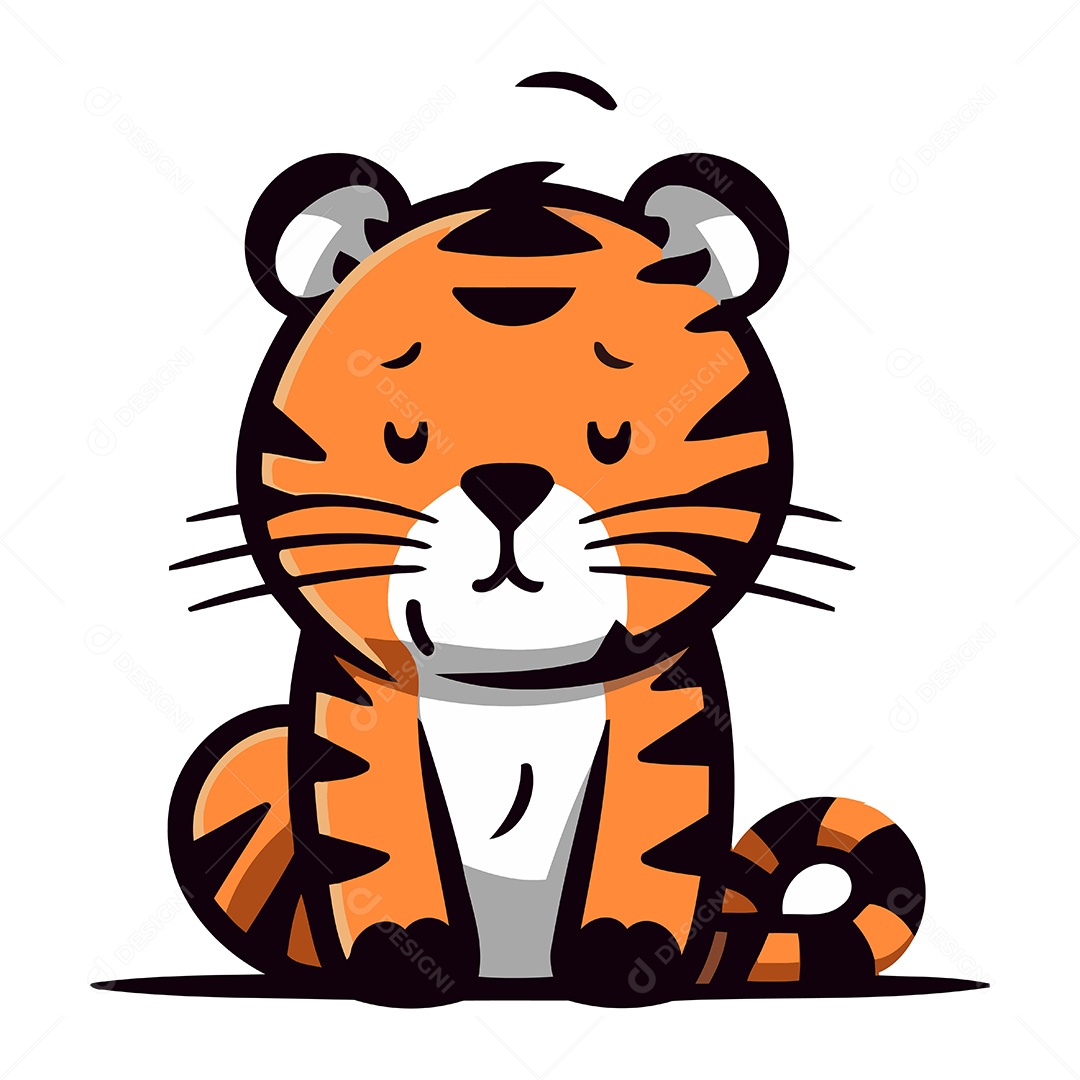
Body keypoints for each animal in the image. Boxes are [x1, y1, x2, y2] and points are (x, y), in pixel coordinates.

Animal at [167, 139, 930, 1006]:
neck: (511, 684)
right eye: (404, 435)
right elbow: (378, 847)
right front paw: (404, 954)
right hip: (245, 754)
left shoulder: (666, 712)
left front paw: (628, 954)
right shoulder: (354, 714)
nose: (508, 487)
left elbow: (652, 845)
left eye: (615, 436)